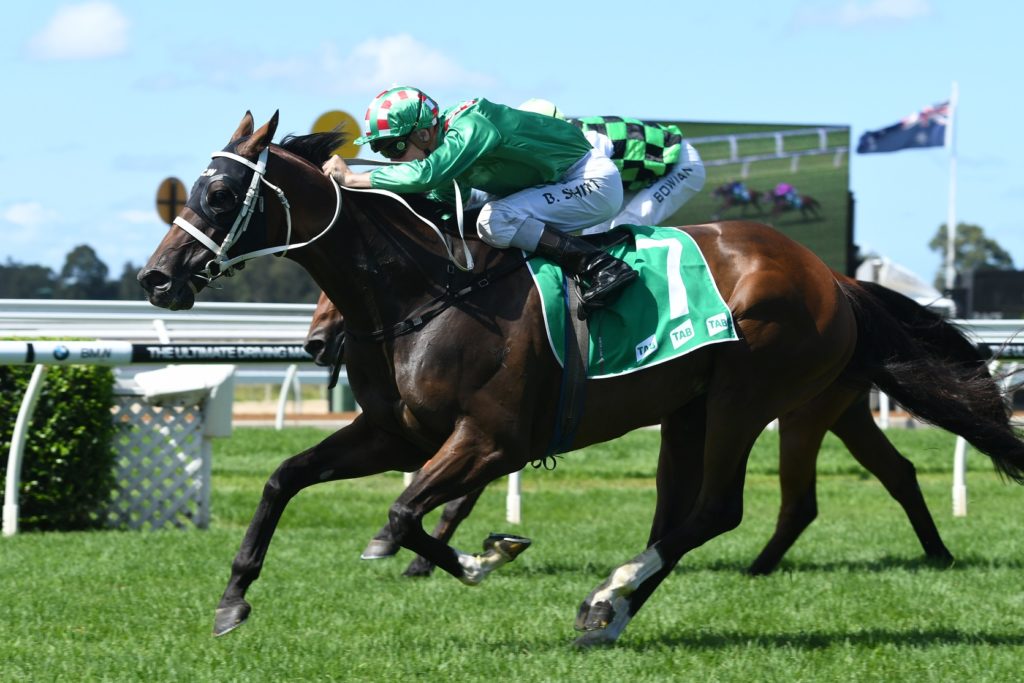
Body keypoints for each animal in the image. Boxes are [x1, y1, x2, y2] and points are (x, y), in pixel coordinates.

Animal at [304, 284, 976, 577]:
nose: (313, 343)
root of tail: (840, 287)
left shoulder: (498, 425)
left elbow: (449, 493)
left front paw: (428, 554)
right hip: (832, 409)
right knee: (893, 472)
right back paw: (935, 552)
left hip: (788, 408)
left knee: (792, 497)